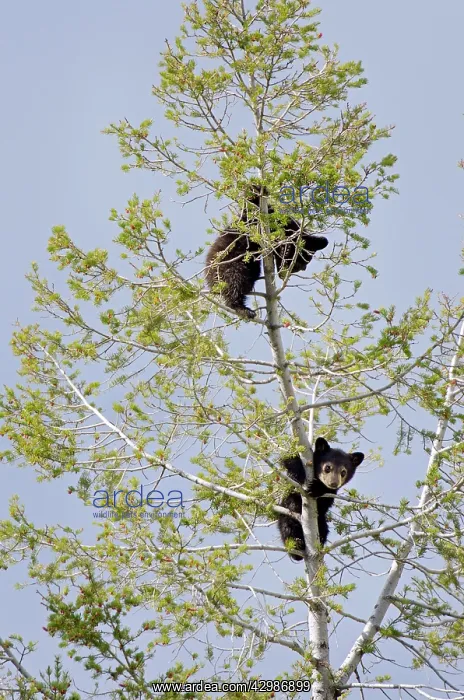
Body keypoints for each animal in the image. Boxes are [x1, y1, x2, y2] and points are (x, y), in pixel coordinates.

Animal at [205, 186, 328, 318]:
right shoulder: (257, 218)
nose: (284, 276)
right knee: (235, 280)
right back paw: (241, 308)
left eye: (297, 268)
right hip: (227, 265)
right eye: (297, 264)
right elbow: (251, 205)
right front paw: (258, 188)